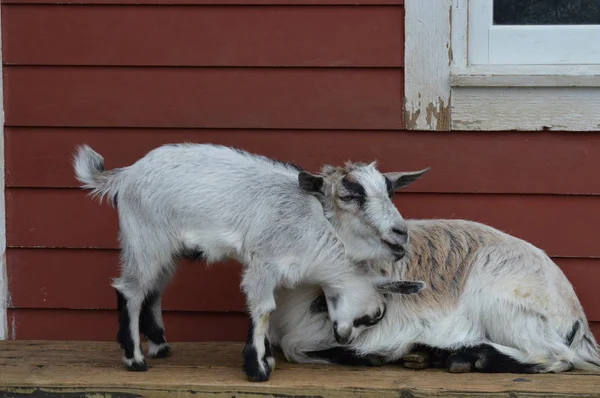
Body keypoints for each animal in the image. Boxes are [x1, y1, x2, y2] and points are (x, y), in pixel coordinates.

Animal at [74, 144, 426, 382]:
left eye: (390, 192)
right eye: (350, 195)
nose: (344, 340)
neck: (314, 227)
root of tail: (125, 175)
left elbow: (267, 313)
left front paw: (266, 360)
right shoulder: (263, 262)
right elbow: (264, 310)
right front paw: (257, 369)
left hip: (168, 249)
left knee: (154, 291)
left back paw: (160, 346)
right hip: (145, 241)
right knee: (130, 291)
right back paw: (134, 359)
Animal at [272, 218, 600, 374]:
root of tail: (578, 319)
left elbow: (293, 346)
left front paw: (368, 356)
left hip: (501, 301)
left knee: (553, 355)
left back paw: (470, 357)